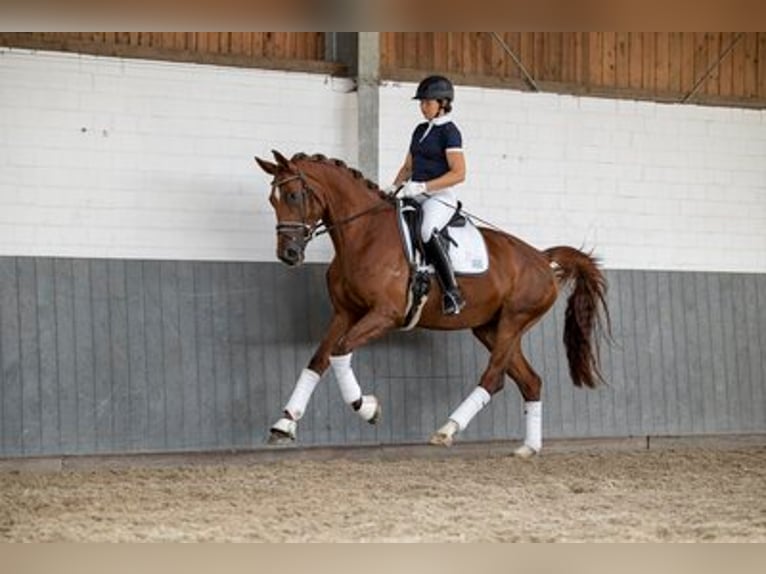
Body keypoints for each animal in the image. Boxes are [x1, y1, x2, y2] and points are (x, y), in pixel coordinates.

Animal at [255, 150, 608, 460]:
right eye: (272, 200)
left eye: (293, 196)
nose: (288, 254)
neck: (363, 235)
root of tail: (542, 258)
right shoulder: (345, 313)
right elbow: (318, 360)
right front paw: (284, 424)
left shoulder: (385, 315)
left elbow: (340, 352)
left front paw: (367, 408)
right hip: (490, 329)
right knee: (531, 381)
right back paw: (528, 448)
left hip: (513, 321)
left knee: (493, 378)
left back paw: (448, 429)